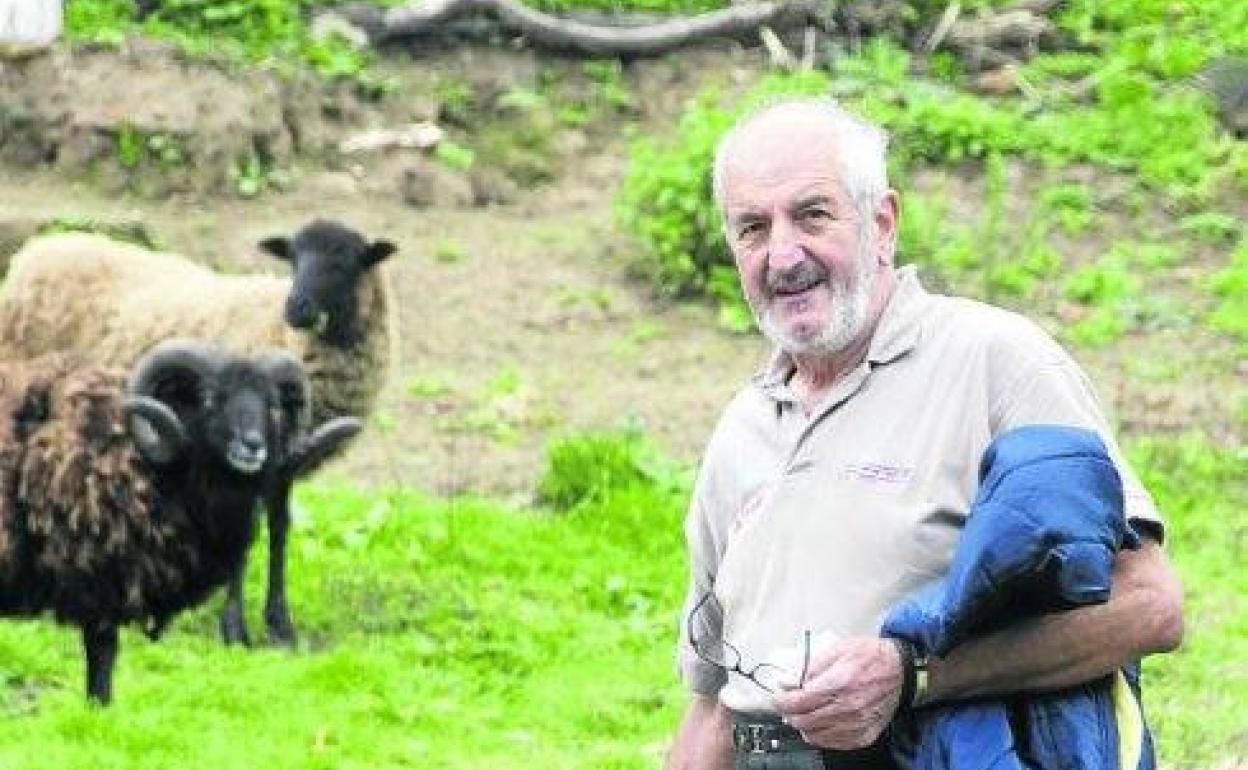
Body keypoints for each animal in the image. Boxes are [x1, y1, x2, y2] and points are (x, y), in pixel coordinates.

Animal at [0, 219, 396, 643]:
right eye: (293, 259)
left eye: (344, 263)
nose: (295, 309)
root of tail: (37, 250)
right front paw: (234, 628)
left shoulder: (282, 463)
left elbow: (279, 531)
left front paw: (280, 626)